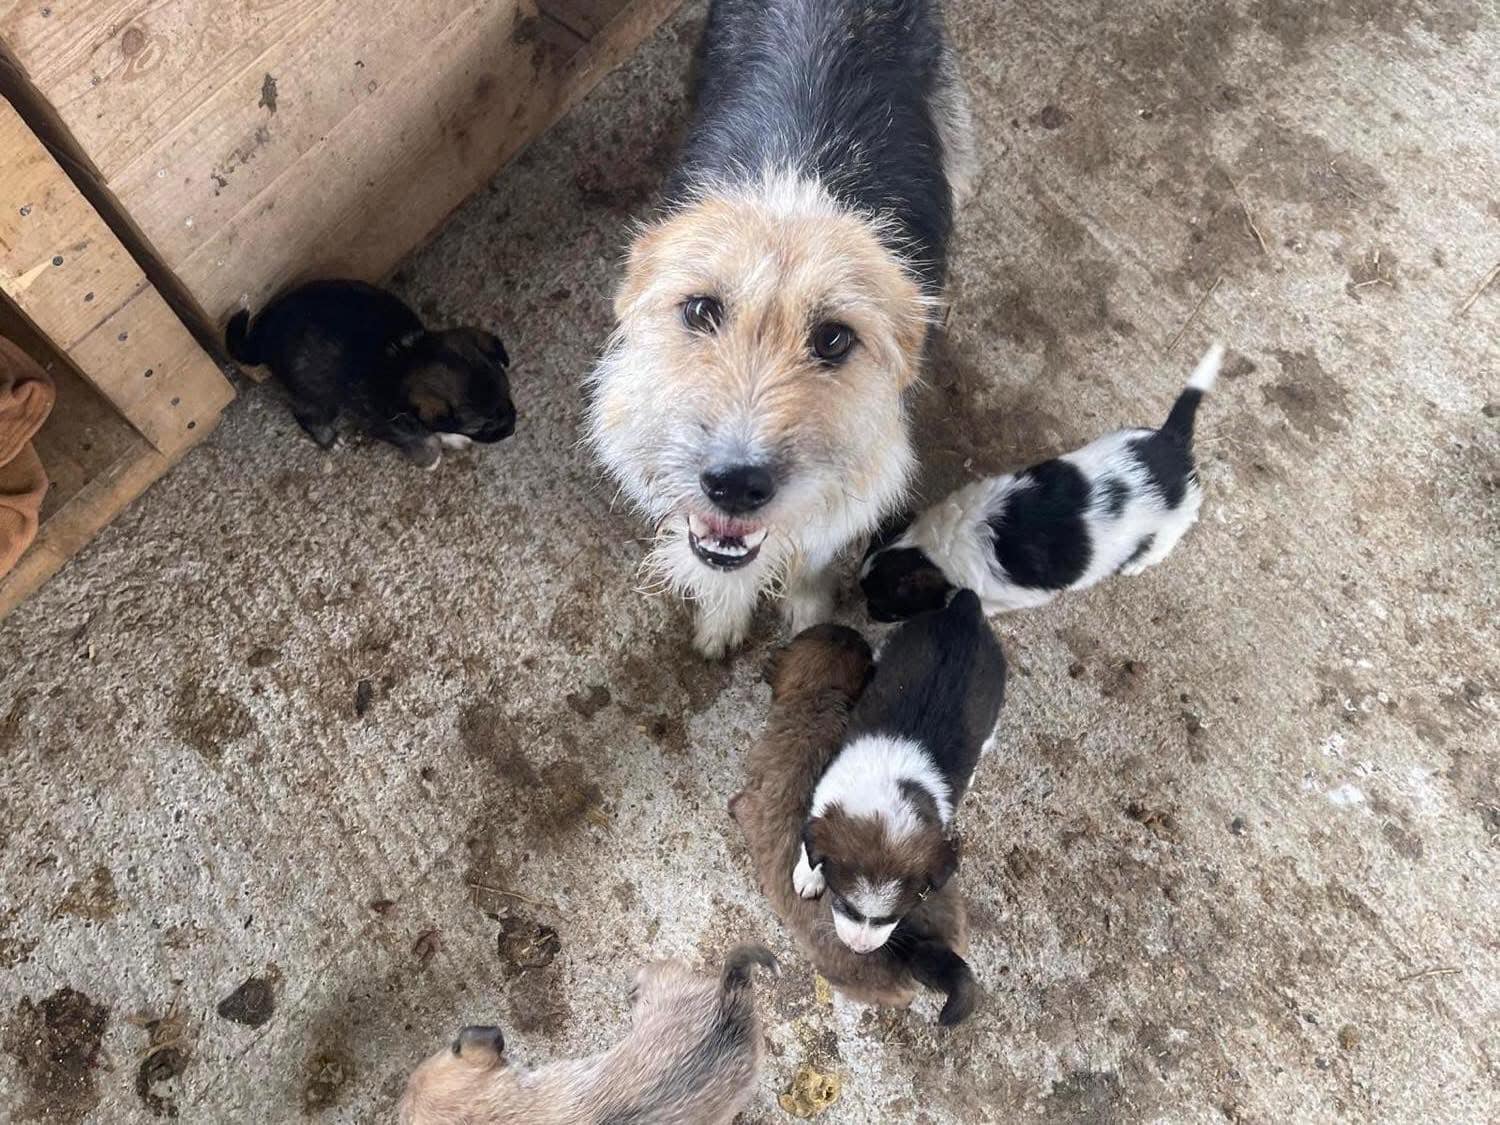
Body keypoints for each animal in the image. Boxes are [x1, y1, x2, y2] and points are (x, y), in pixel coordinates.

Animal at [226, 280, 515, 469]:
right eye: (480, 425)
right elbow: (417, 439)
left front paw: (451, 438)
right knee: (305, 413)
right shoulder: (382, 424)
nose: (512, 430)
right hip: (316, 392)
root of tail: (262, 335)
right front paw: (430, 459)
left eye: (508, 395)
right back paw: (328, 439)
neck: (404, 359)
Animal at [588, 0, 977, 657]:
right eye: (700, 310)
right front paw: (722, 618)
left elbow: (813, 553)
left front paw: (807, 608)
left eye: (834, 338)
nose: (735, 485)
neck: (797, 186)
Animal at [794, 590, 1006, 956]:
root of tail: (965, 609)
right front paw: (808, 875)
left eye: (894, 917)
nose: (860, 949)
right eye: (845, 904)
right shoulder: (825, 791)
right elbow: (810, 841)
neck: (888, 790)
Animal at [862, 344, 1225, 620]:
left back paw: (1136, 564)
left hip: (1173, 521)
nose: (868, 615)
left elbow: (983, 604)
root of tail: (1171, 440)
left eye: (884, 606)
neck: (940, 543)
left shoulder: (1012, 594)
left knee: (1162, 543)